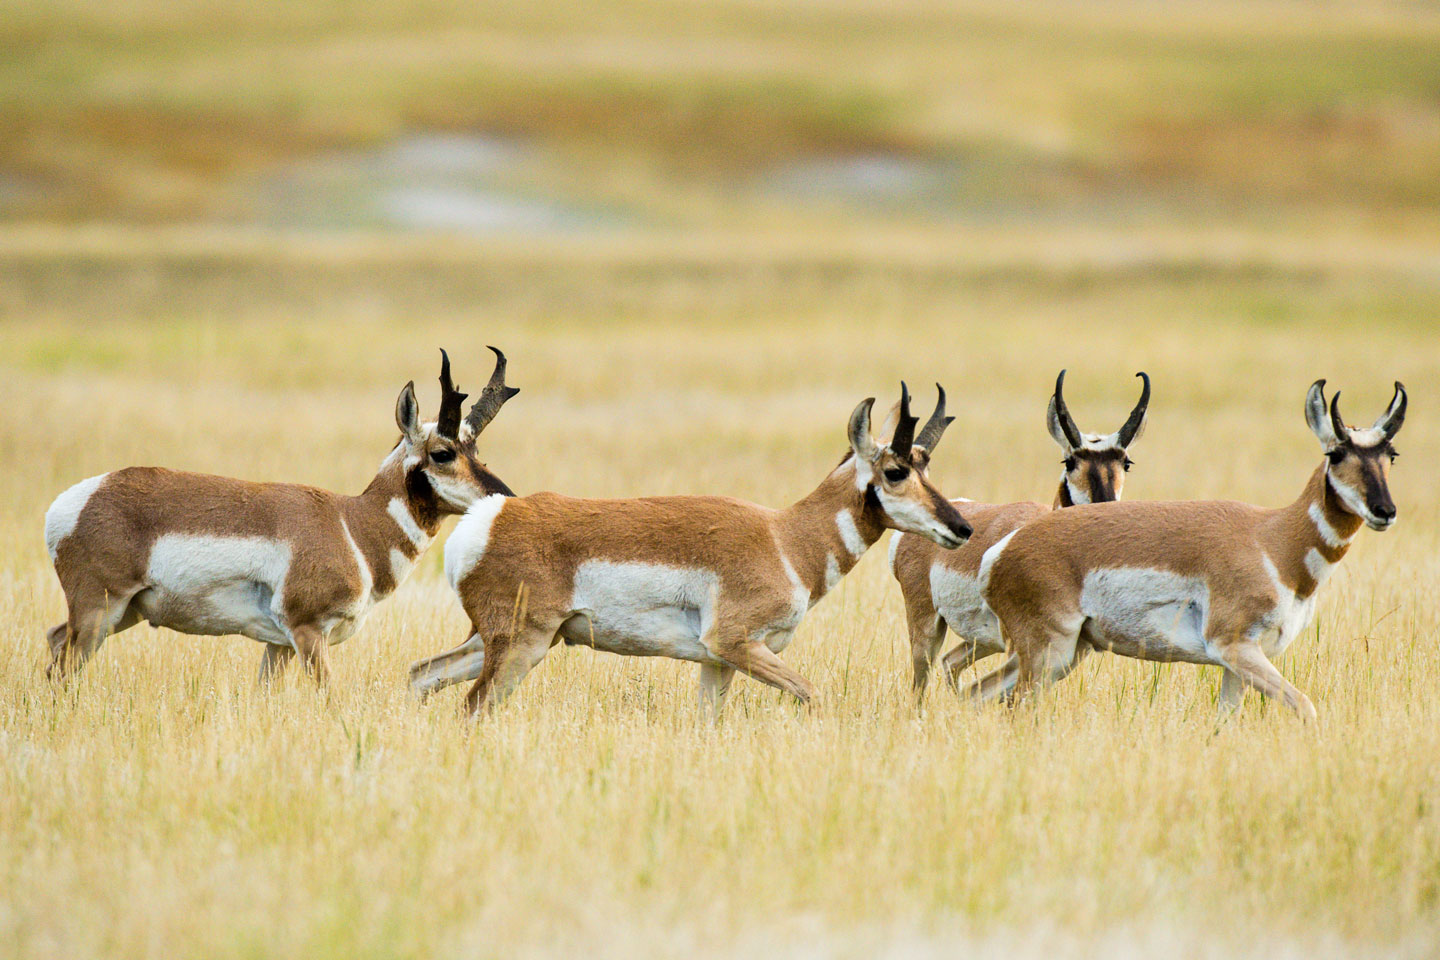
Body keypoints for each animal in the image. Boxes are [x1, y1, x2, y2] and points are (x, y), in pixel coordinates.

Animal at [42, 349, 521, 687]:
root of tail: (75, 500)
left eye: (475, 449)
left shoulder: (279, 647)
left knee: (53, 642)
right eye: (442, 453)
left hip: (123, 614)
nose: (506, 496)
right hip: (99, 610)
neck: (352, 525)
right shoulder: (308, 633)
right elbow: (330, 697)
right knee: (64, 667)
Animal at [411, 385, 973, 713]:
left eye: (927, 466)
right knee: (473, 706)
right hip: (520, 646)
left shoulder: (716, 662)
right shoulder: (735, 644)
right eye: (895, 470)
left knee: (422, 675)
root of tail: (491, 518)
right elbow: (811, 693)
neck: (786, 538)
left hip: (504, 642)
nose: (962, 527)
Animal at [887, 371, 1146, 693]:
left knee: (950, 663)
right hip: (927, 627)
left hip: (982, 642)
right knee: (922, 683)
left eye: (1126, 462)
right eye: (1069, 461)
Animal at [967, 379, 1405, 716]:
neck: (1273, 538)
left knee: (976, 693)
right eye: (1336, 452)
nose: (1384, 510)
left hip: (1067, 653)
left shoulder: (1237, 664)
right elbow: (1306, 707)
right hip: (1049, 653)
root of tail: (1004, 547)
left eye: (1390, 454)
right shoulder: (1235, 648)